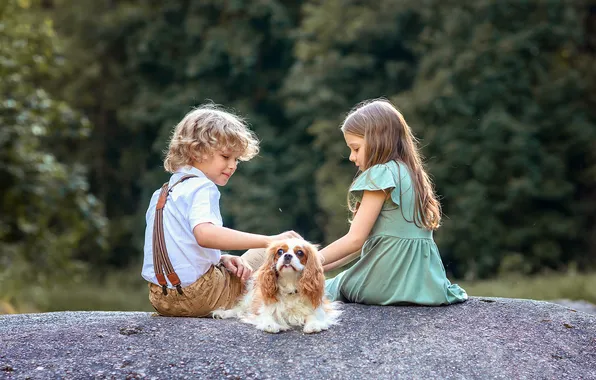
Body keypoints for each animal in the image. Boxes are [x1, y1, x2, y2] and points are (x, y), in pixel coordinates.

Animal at [212, 239, 340, 334]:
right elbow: (267, 316)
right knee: (239, 308)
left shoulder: (319, 307)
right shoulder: (266, 308)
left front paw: (313, 324)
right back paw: (222, 313)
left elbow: (314, 315)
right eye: (280, 251)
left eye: (300, 253)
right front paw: (270, 325)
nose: (287, 255)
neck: (290, 282)